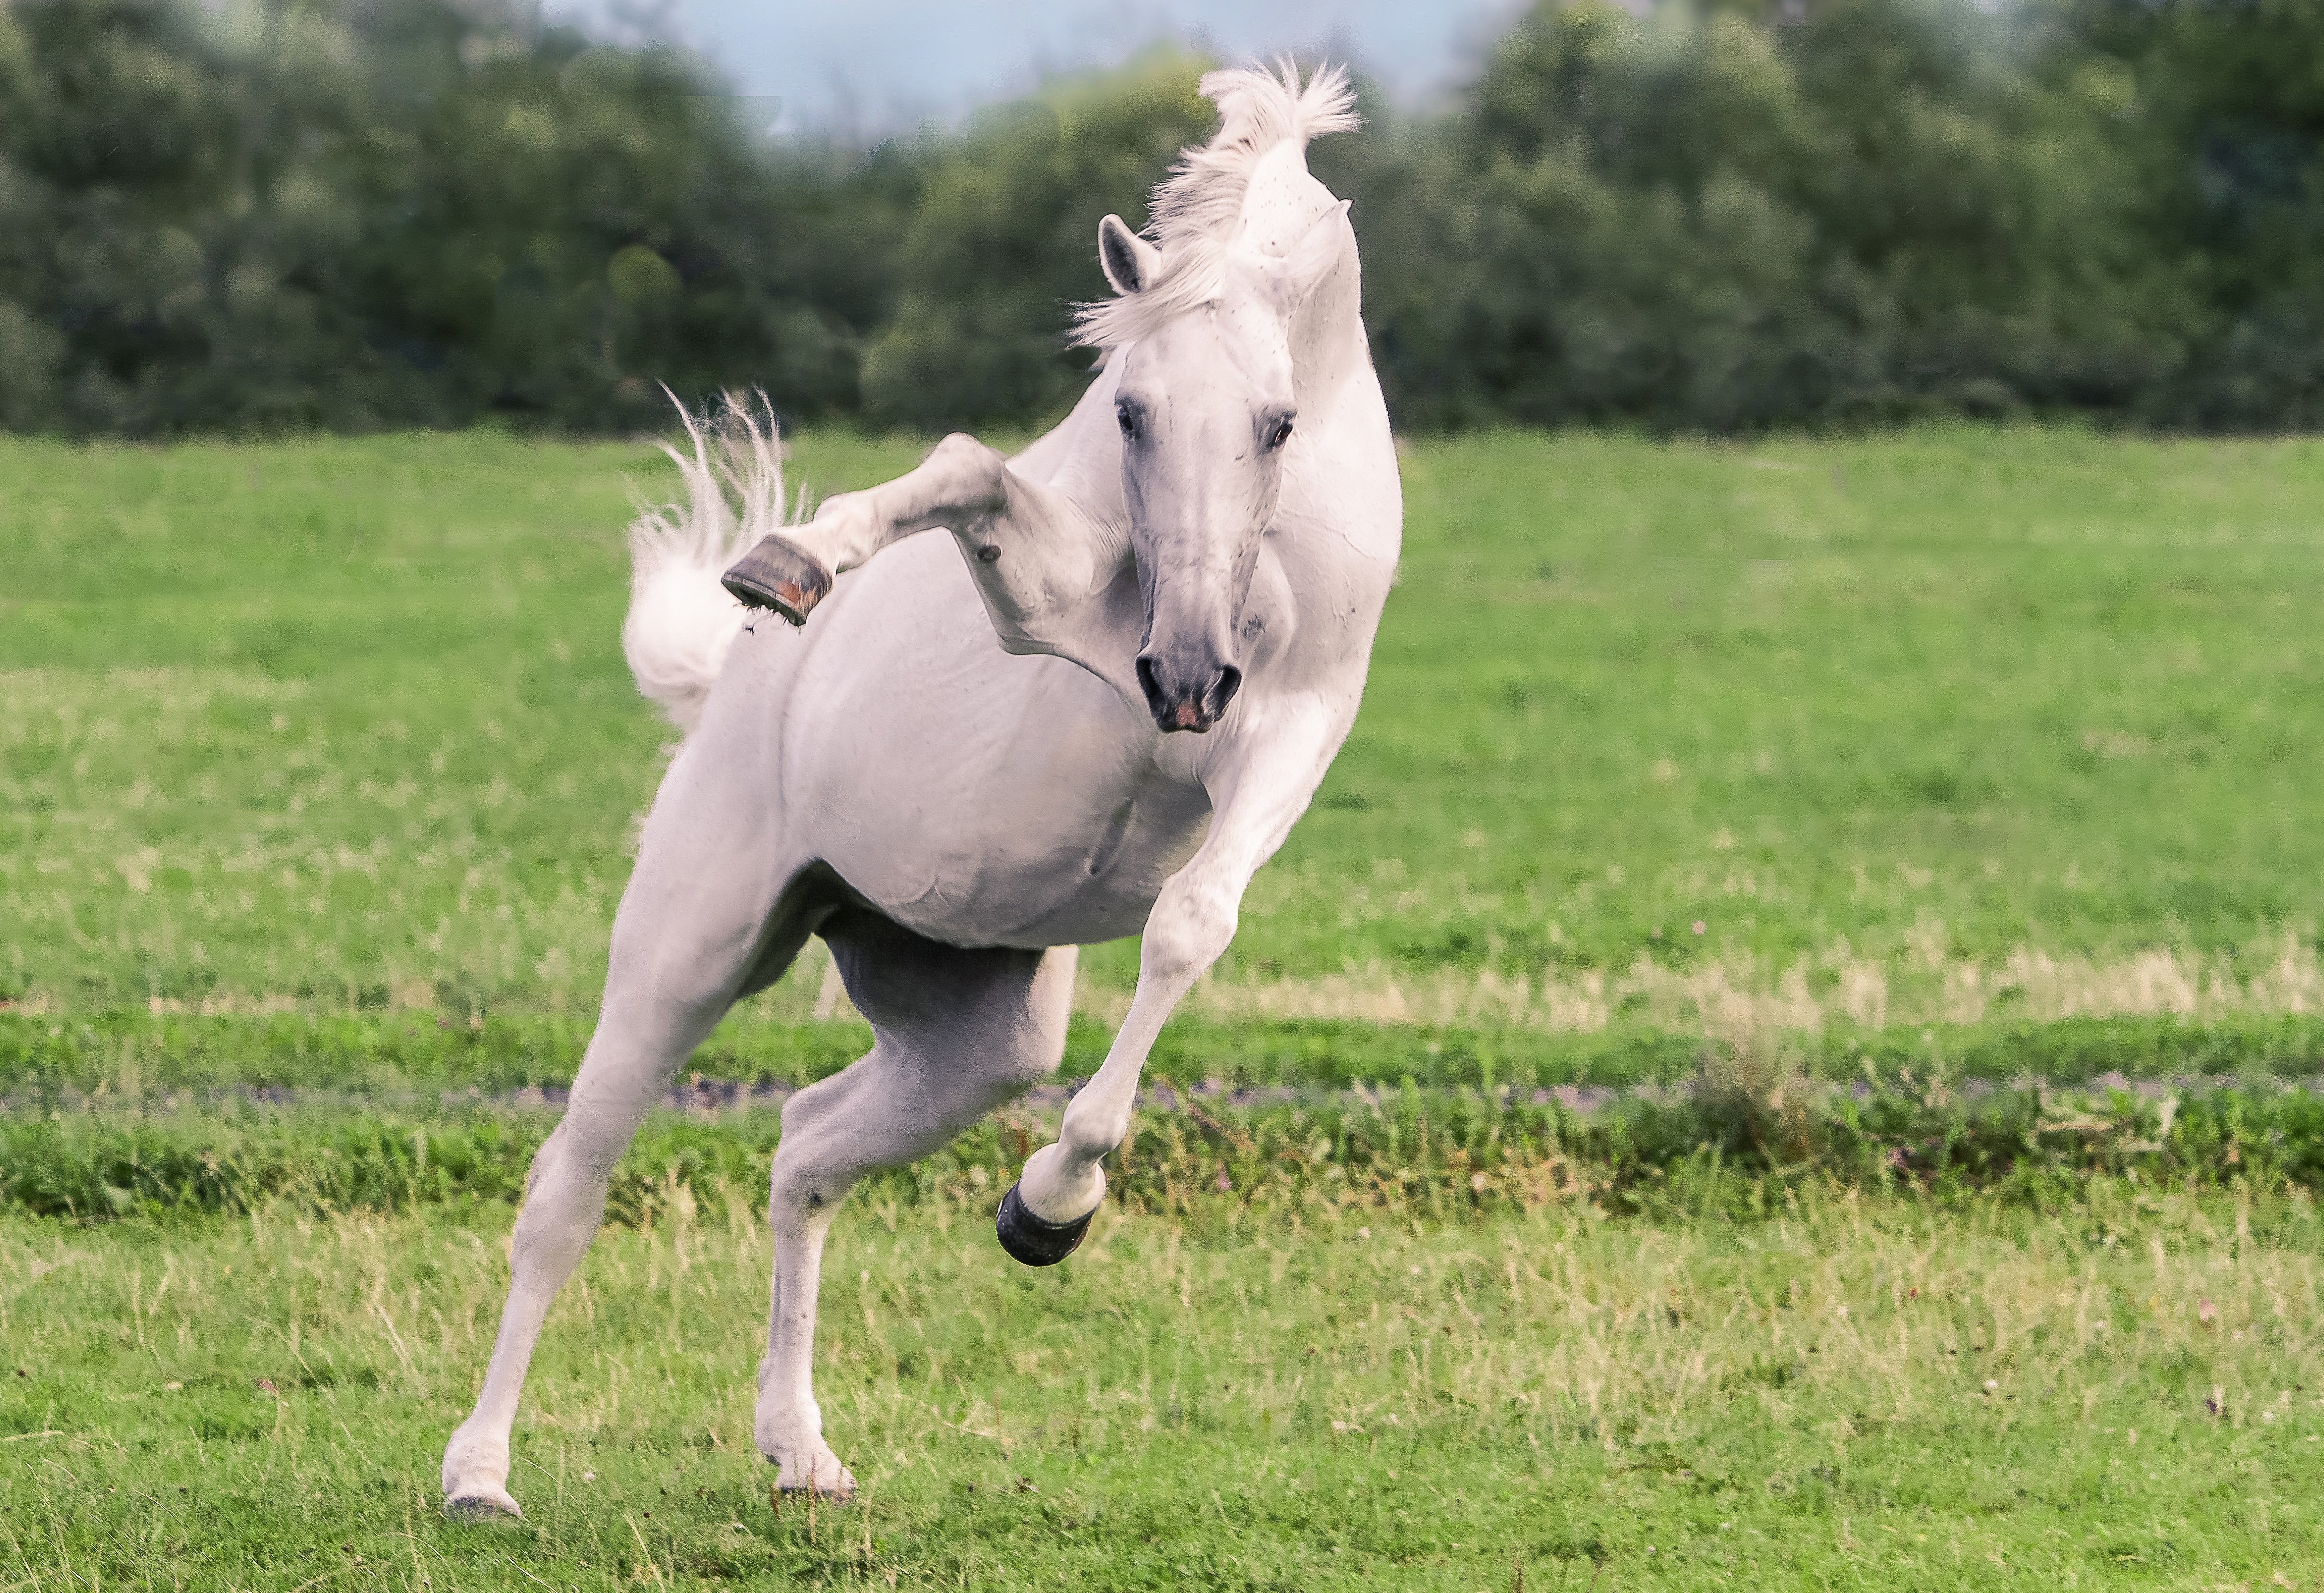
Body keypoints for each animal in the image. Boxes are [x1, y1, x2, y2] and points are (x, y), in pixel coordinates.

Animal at [441, 61, 1400, 1516]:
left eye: (1276, 422)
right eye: (1128, 408)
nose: (1182, 677)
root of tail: (722, 701)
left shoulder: (1290, 728)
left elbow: (1193, 926)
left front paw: (1048, 1207)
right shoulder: (1062, 621)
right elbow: (961, 469)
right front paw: (793, 559)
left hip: (970, 1035)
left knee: (804, 1149)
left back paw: (799, 1449)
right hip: (687, 956)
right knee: (567, 1193)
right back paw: (481, 1475)